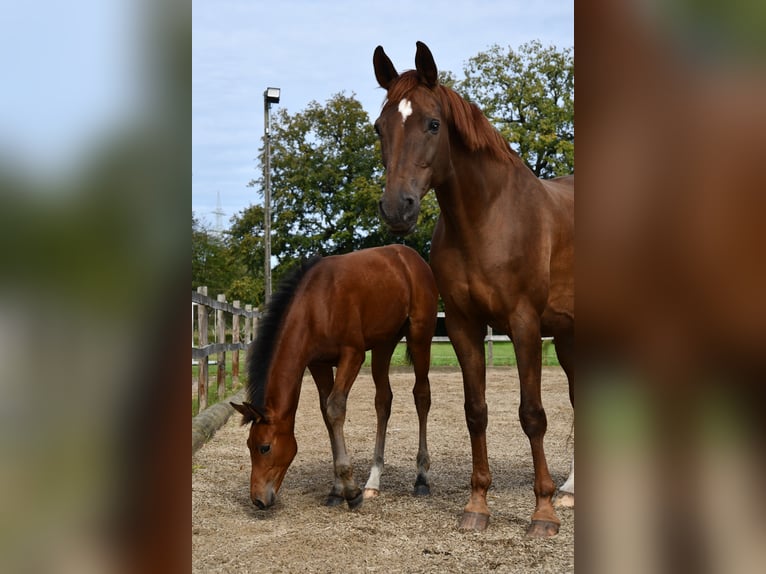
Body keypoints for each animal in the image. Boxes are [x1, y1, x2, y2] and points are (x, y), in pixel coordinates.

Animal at [231, 248, 438, 512]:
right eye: (249, 445)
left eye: (264, 447)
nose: (257, 500)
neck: (316, 305)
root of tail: (412, 257)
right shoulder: (318, 364)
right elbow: (326, 414)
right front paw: (337, 490)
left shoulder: (353, 355)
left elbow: (335, 408)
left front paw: (351, 491)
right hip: (384, 344)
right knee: (383, 401)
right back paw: (373, 481)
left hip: (420, 336)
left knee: (422, 395)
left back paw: (421, 478)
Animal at [372, 42, 576, 536]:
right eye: (379, 127)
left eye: (432, 123)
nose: (397, 207)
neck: (488, 218)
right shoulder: (465, 326)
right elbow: (475, 411)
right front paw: (478, 505)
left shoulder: (523, 324)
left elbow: (532, 414)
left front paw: (542, 514)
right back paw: (572, 491)